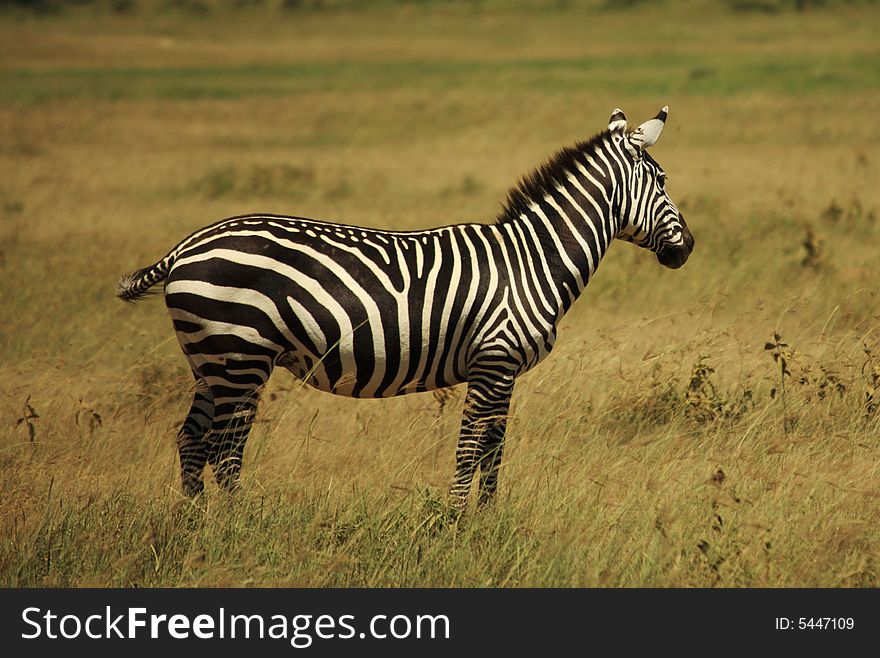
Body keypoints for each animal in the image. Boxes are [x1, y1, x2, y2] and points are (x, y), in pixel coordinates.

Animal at [117, 106, 696, 508]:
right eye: (663, 181)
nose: (687, 248)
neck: (533, 258)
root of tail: (184, 248)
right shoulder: (493, 361)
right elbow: (471, 450)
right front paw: (457, 524)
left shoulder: (505, 372)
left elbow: (494, 454)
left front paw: (488, 521)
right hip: (241, 358)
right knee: (225, 451)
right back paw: (237, 525)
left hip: (211, 362)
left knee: (192, 442)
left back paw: (199, 525)